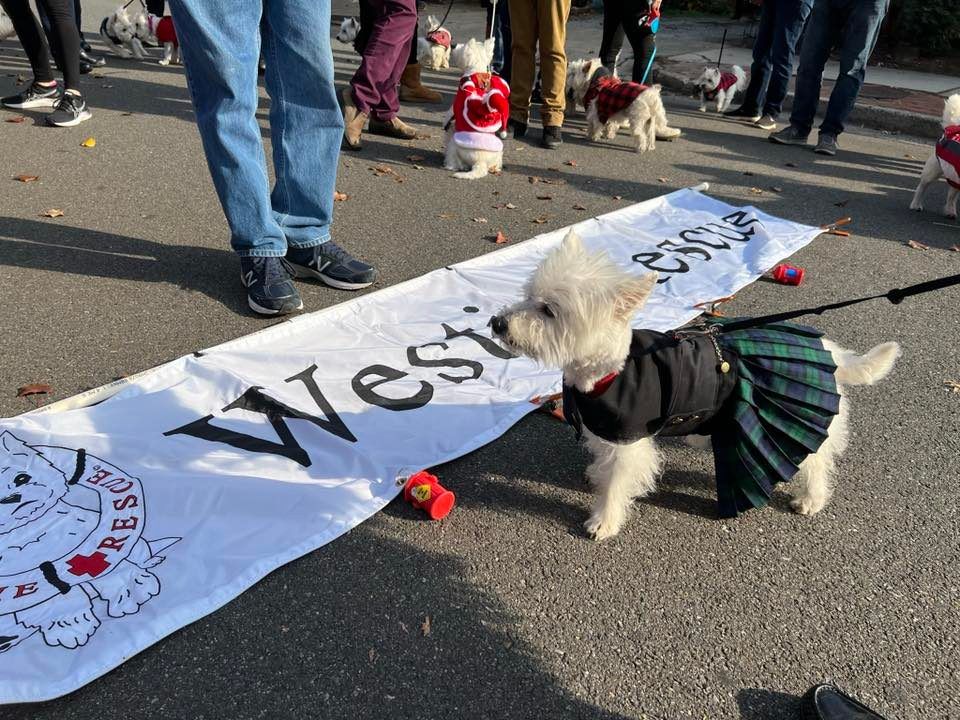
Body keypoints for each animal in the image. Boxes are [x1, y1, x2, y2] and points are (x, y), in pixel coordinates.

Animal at [492, 231, 904, 540]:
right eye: (528, 296)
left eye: (549, 310)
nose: (496, 323)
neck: (609, 370)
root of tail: (831, 351)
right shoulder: (608, 430)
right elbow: (603, 462)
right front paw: (596, 474)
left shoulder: (630, 442)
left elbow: (618, 483)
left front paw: (603, 520)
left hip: (798, 421)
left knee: (815, 461)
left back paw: (811, 499)